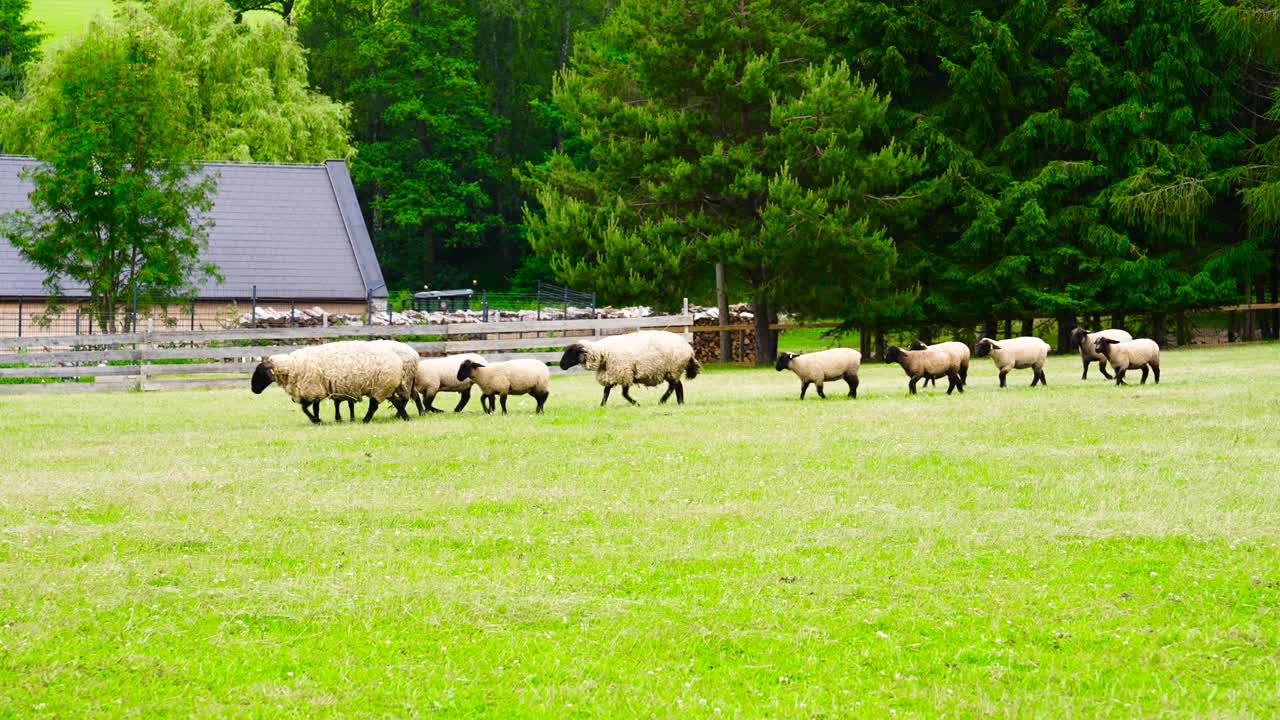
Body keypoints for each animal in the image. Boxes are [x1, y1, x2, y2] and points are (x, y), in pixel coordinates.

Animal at [558, 330, 701, 404]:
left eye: (571, 352)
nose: (561, 365)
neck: (603, 352)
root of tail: (689, 349)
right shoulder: (613, 374)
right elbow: (606, 392)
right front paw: (602, 406)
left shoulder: (624, 373)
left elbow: (624, 394)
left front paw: (636, 404)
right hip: (671, 371)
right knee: (677, 386)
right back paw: (679, 402)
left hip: (673, 368)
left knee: (674, 386)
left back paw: (663, 400)